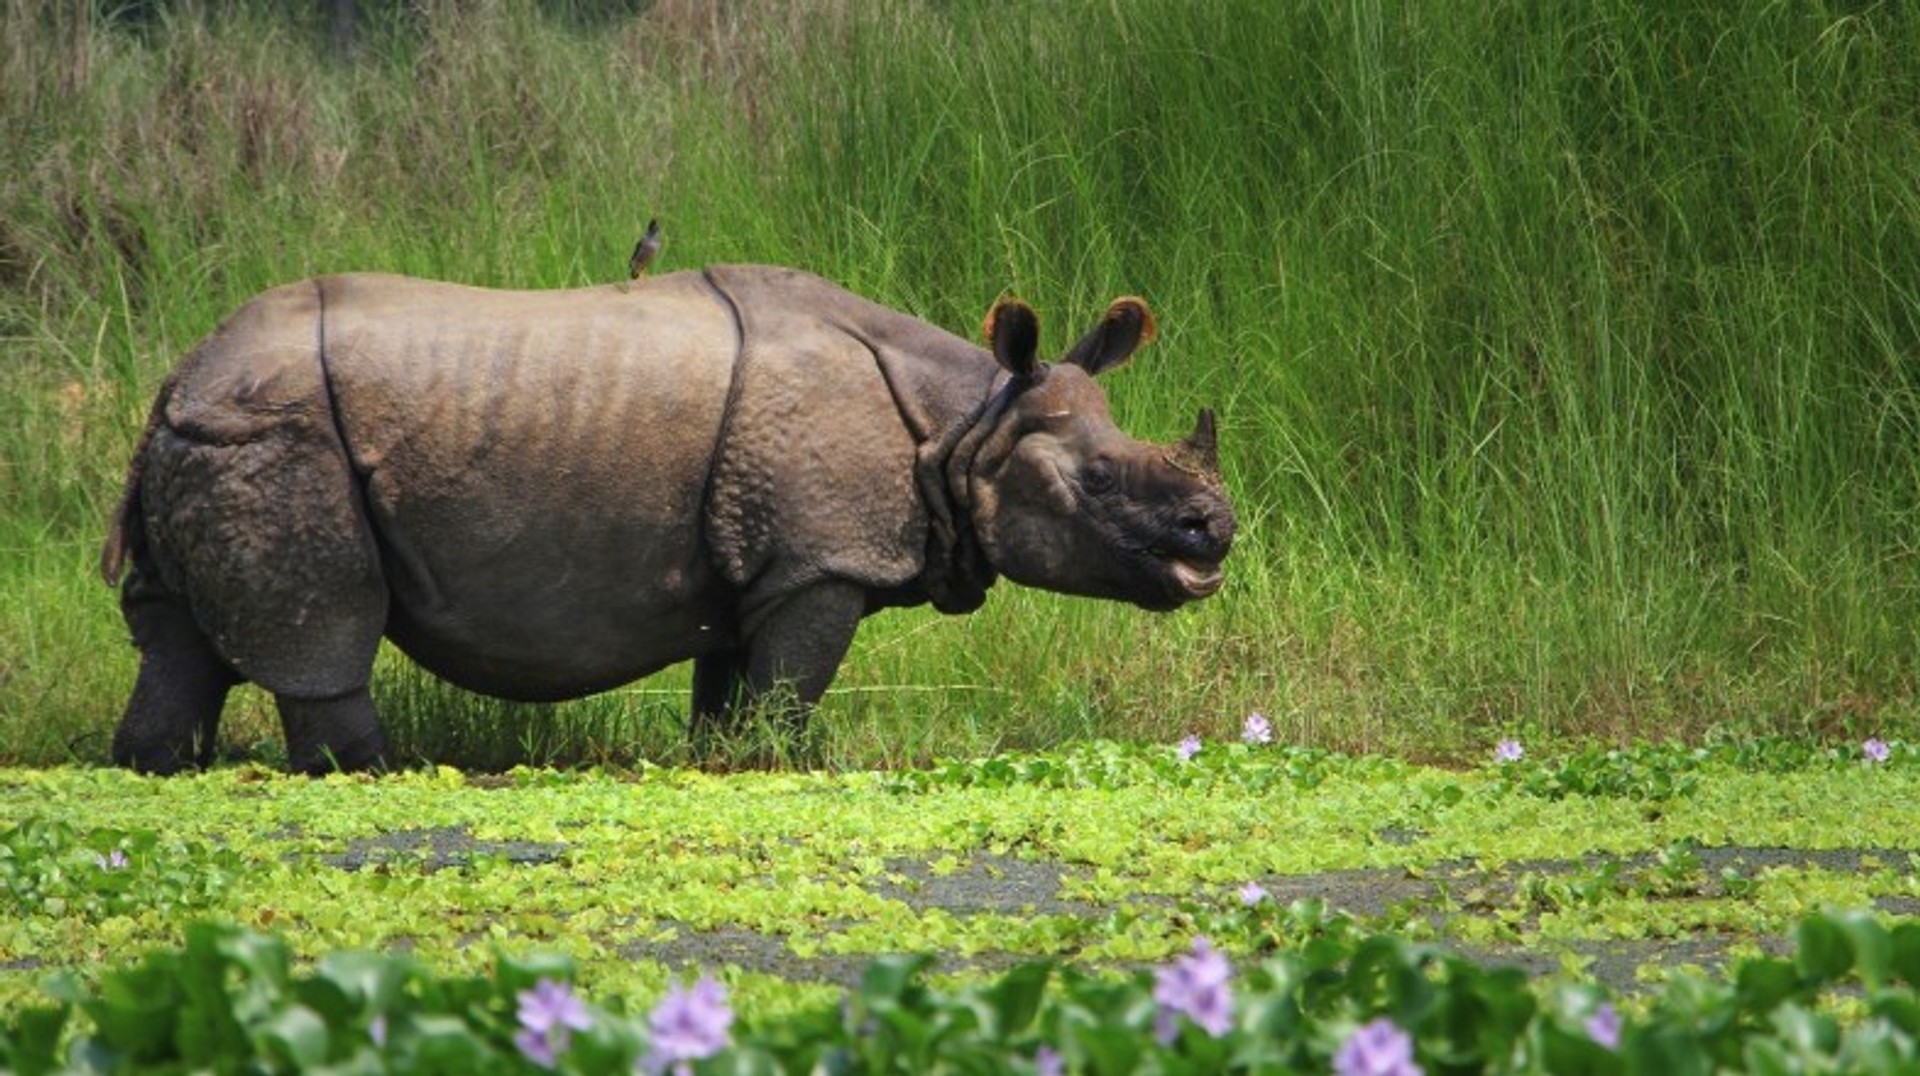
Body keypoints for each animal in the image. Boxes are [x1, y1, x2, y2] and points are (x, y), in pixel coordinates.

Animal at [100, 265, 1235, 774]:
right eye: (1099, 482)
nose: (1214, 532)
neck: (967, 421)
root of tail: (173, 381)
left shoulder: (759, 564)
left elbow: (731, 696)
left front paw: (722, 763)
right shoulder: (820, 561)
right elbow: (788, 697)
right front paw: (782, 768)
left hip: (214, 438)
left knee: (178, 643)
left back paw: (154, 766)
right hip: (283, 438)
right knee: (325, 639)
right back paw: (375, 774)